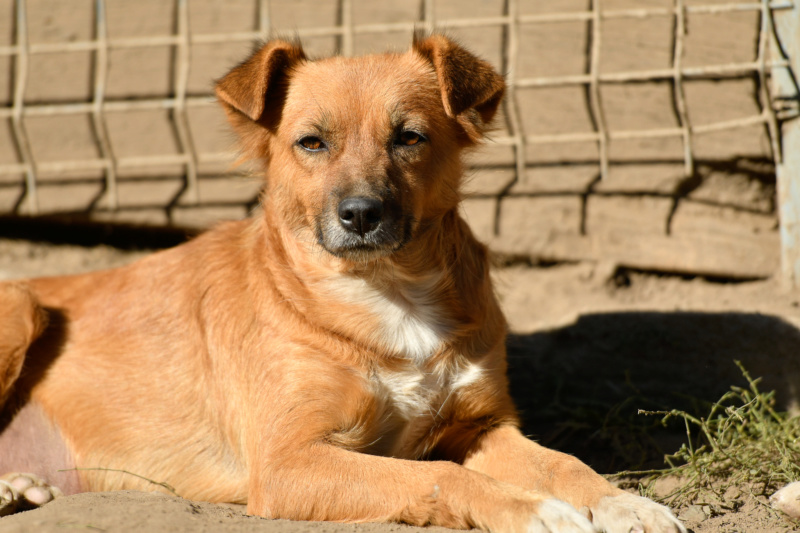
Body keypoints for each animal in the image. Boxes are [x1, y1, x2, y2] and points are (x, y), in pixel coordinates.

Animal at [0, 35, 684, 528]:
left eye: (409, 137)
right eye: (311, 142)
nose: (360, 214)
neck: (390, 295)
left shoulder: (480, 426)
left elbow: (564, 462)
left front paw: (627, 504)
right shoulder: (289, 462)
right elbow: (439, 476)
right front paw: (536, 512)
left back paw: (19, 487)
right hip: (22, 306)